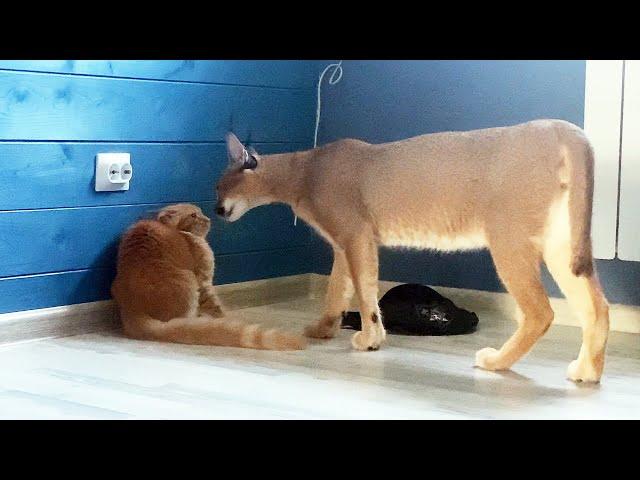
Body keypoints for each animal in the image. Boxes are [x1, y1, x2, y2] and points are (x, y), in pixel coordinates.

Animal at [110, 202, 308, 348]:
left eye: (201, 213)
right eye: (193, 215)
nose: (208, 219)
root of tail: (132, 309)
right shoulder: (204, 282)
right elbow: (218, 308)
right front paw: (226, 319)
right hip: (188, 281)